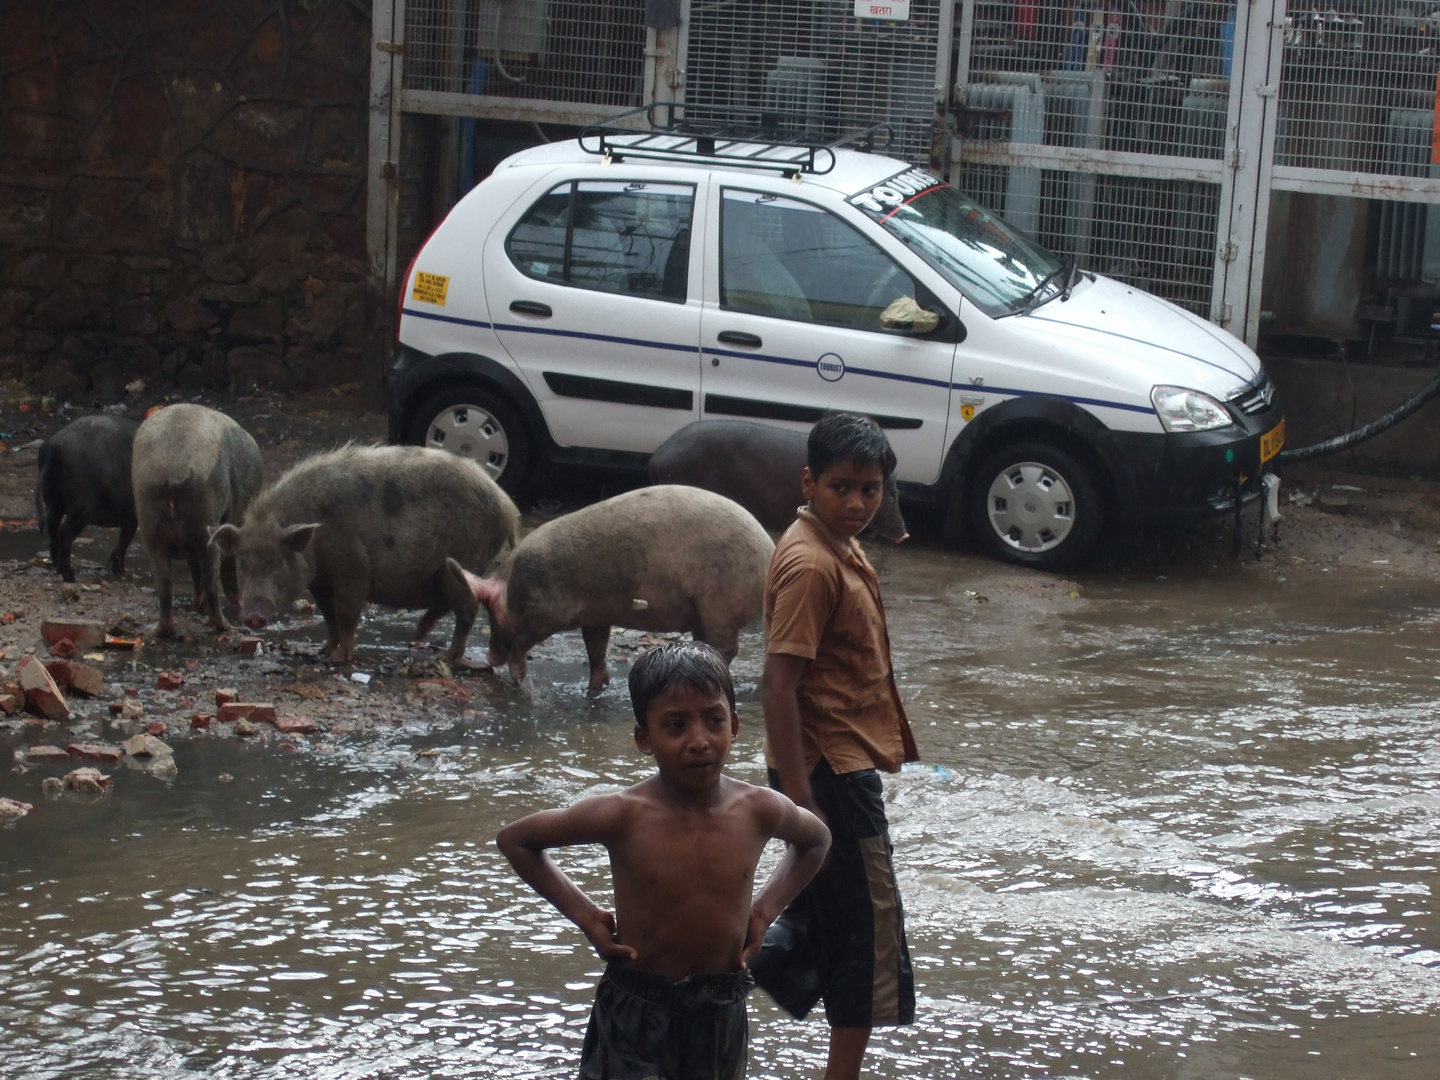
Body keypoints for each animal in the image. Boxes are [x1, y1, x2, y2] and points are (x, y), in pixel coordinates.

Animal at [34, 417, 140, 584]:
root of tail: (54, 446)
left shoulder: (131, 516)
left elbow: (124, 539)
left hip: (53, 500)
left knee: (52, 523)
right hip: (82, 506)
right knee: (65, 531)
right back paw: (70, 576)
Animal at [132, 408, 264, 642]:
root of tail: (173, 469)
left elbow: (194, 569)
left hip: (149, 518)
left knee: (164, 580)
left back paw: (164, 630)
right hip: (205, 515)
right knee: (211, 575)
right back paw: (224, 625)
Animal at [213, 443, 524, 665]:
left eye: (277, 563)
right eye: (243, 563)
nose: (253, 616)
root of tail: (507, 506)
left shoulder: (353, 567)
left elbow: (347, 614)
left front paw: (338, 659)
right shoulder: (320, 581)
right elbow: (329, 616)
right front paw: (323, 651)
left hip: (460, 563)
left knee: (467, 606)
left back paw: (446, 657)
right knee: (449, 605)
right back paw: (418, 636)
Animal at [457, 480, 777, 694]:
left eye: (490, 611)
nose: (490, 657)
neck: (513, 586)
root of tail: (769, 551)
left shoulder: (546, 611)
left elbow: (524, 641)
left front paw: (518, 680)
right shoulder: (595, 614)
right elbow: (596, 648)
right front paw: (593, 690)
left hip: (719, 603)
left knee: (727, 646)